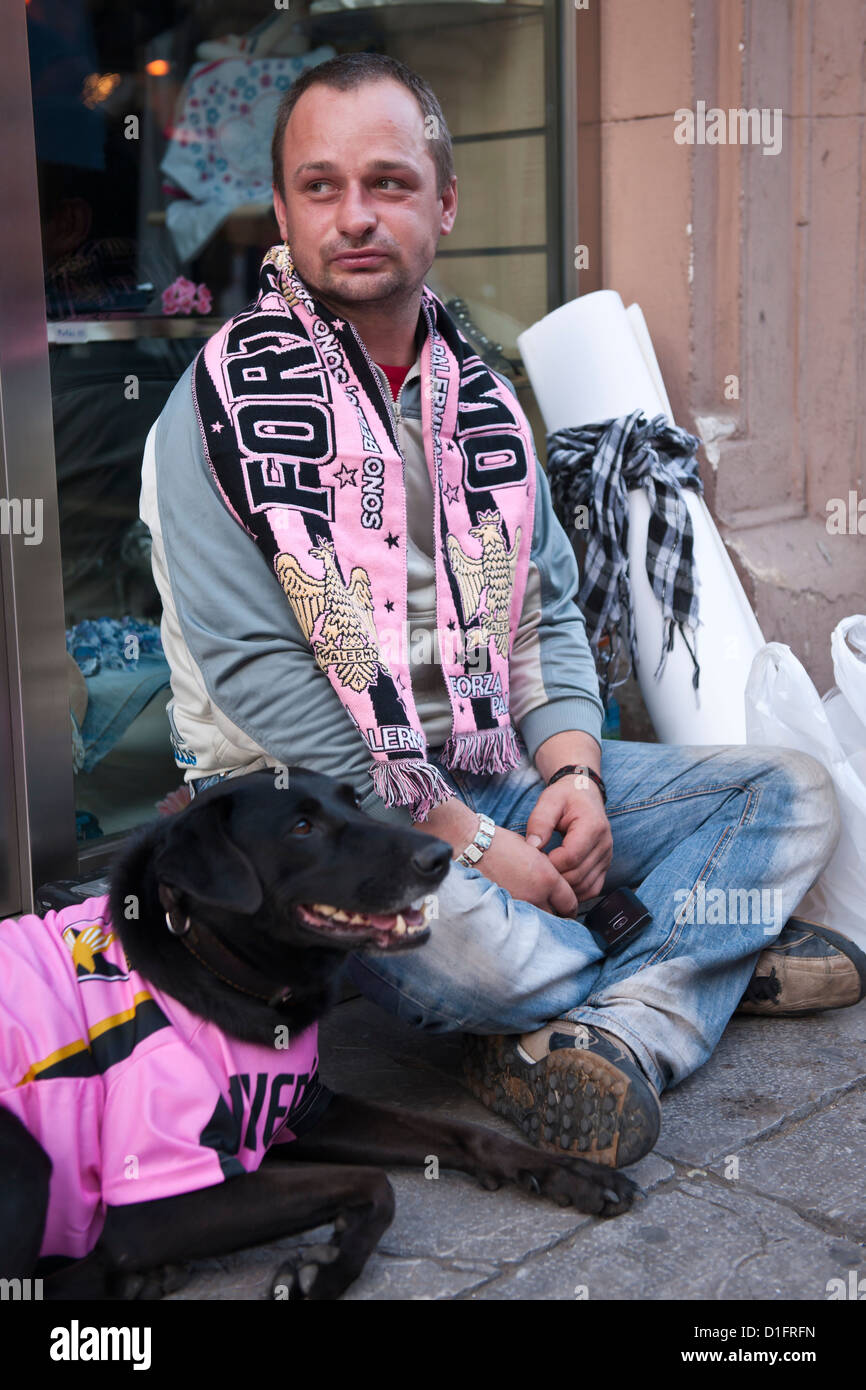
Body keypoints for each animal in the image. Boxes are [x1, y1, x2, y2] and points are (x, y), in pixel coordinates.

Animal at [0, 767, 636, 1295]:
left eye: (354, 803)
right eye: (302, 827)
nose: (440, 855)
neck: (214, 963)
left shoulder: (310, 1110)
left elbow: (463, 1134)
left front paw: (569, 1173)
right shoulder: (155, 1199)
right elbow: (374, 1184)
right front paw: (326, 1268)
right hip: (28, 1159)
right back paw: (136, 1275)